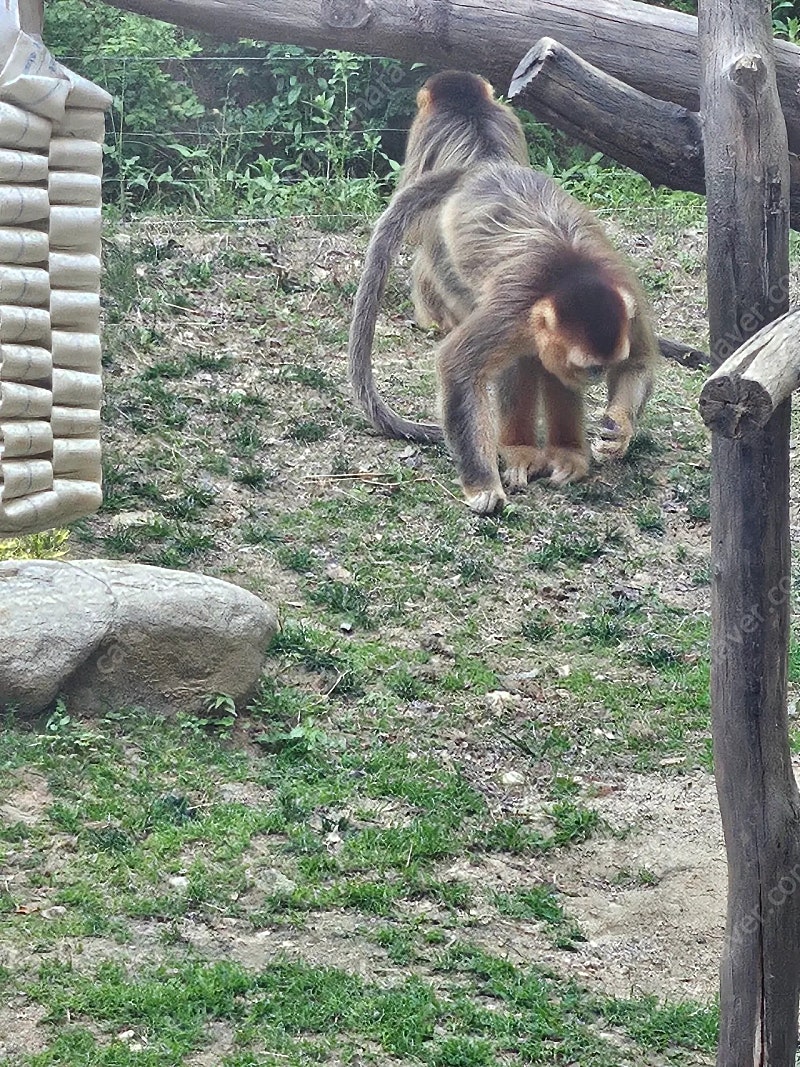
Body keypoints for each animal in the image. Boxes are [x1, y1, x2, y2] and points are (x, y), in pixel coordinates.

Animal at [347, 70, 661, 512]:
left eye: (603, 366)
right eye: (590, 366)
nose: (596, 376)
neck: (569, 268)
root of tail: (480, 170)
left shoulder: (627, 300)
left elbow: (638, 363)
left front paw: (619, 429)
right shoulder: (514, 306)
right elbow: (459, 366)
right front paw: (482, 485)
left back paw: (566, 456)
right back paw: (522, 452)